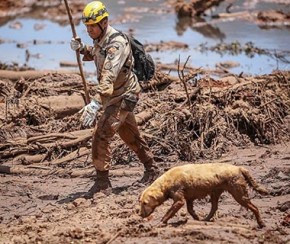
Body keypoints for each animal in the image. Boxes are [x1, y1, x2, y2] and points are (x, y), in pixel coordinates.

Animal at [139, 163, 268, 228]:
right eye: (140, 202)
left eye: (145, 203)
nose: (140, 215)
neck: (166, 182)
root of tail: (239, 168)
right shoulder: (189, 198)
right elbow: (190, 209)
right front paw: (196, 218)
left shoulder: (179, 199)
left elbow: (169, 211)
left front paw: (161, 222)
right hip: (215, 192)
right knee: (214, 207)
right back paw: (205, 219)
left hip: (238, 193)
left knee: (254, 207)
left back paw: (261, 223)